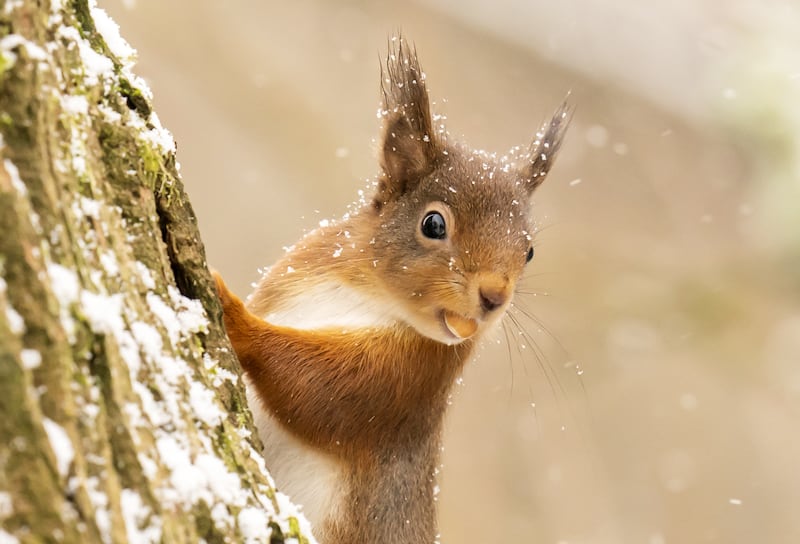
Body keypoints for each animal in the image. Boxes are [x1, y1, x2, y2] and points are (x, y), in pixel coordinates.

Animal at [214, 36, 568, 540]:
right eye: (434, 223)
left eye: (530, 251)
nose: (494, 296)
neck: (369, 293)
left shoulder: (404, 383)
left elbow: (314, 388)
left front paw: (231, 308)